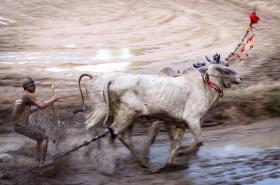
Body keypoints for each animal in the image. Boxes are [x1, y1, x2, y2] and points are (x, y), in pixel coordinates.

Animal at [78, 64, 241, 169]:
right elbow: (199, 141)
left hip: (126, 116)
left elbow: (175, 144)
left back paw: (141, 162)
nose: (239, 77)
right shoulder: (192, 119)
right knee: (108, 133)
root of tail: (109, 80)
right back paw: (114, 162)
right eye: (225, 69)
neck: (204, 87)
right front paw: (185, 153)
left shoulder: (181, 123)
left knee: (122, 136)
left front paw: (170, 164)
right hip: (119, 113)